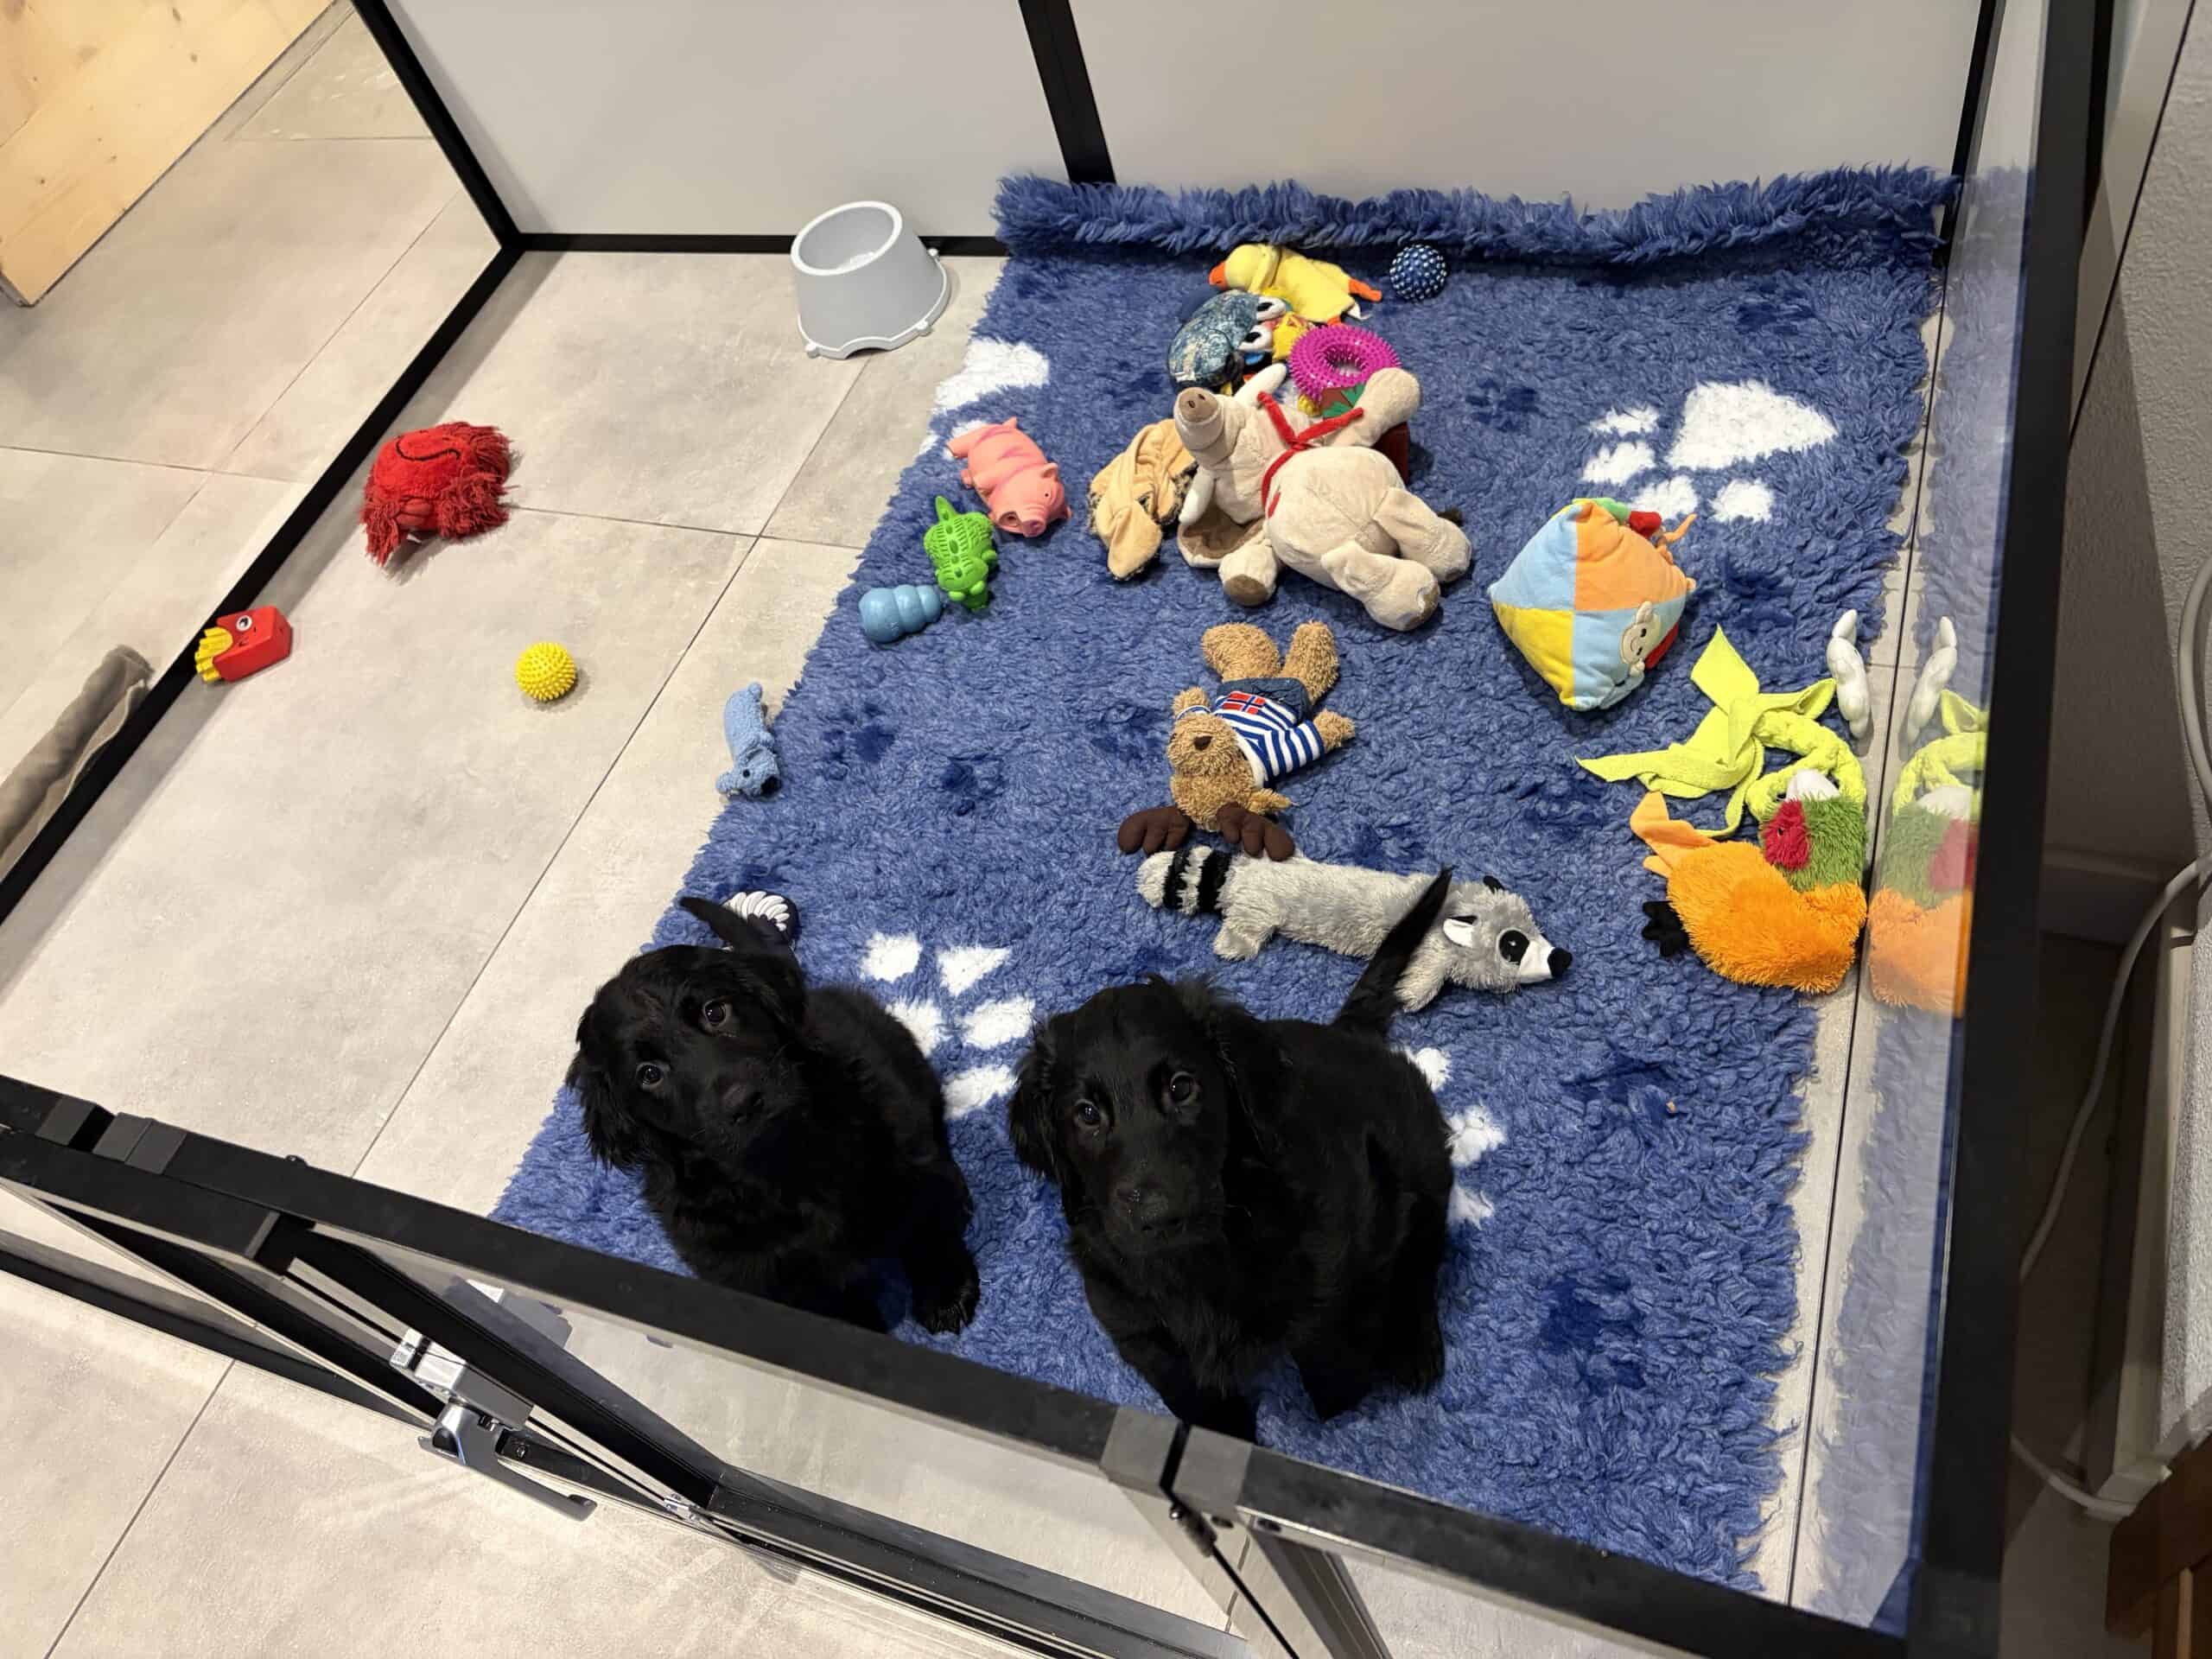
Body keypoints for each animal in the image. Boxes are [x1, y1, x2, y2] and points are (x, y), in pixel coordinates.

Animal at [566, 897, 979, 1334]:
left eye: (716, 1012)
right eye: (649, 1075)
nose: (743, 1102)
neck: (786, 1157)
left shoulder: (904, 1151)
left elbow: (925, 1219)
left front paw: (946, 1289)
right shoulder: (755, 1270)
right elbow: (826, 1310)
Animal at [1009, 872, 1456, 1440]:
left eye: (1182, 1088)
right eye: (1087, 1114)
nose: (1161, 1218)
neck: (1203, 1255)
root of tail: (1347, 1032)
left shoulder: (1339, 1274)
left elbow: (1333, 1367)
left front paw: (1338, 1415)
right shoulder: (1133, 1321)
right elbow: (1196, 1400)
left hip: (1420, 1148)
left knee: (1426, 1240)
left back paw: (1415, 1344)